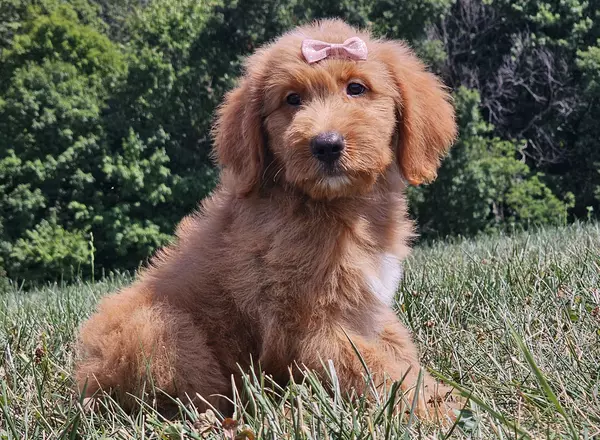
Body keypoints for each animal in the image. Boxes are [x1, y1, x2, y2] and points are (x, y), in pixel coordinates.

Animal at [76, 18, 460, 418]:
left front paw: (443, 395)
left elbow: (398, 351)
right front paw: (436, 411)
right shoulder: (308, 323)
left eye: (356, 88)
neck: (331, 205)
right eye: (292, 99)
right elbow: (377, 367)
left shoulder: (363, 307)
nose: (326, 145)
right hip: (155, 331)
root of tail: (87, 380)